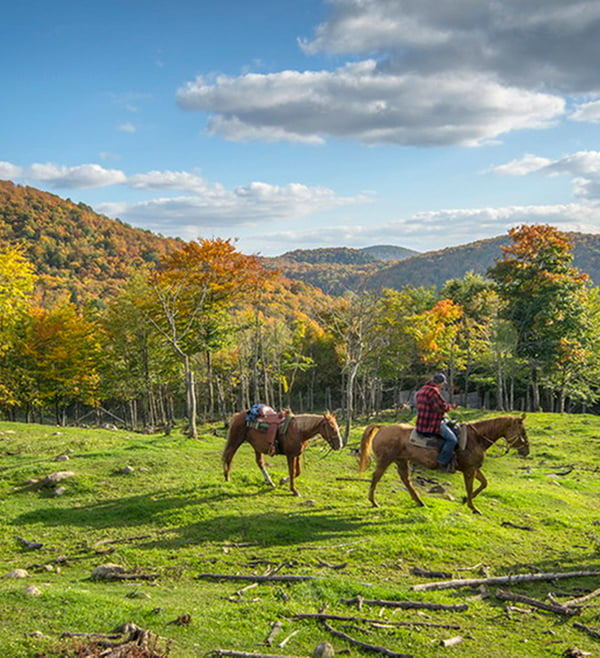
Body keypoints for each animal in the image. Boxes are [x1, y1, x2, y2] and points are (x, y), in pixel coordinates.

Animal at [358, 416, 528, 512]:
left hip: (401, 460)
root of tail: (383, 427)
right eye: (523, 431)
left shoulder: (473, 468)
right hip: (385, 460)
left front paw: (465, 500)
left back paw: (419, 502)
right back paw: (373, 501)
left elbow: (484, 483)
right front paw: (472, 507)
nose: (526, 450)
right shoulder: (469, 470)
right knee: (376, 477)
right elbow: (470, 487)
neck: (476, 438)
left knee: (406, 480)